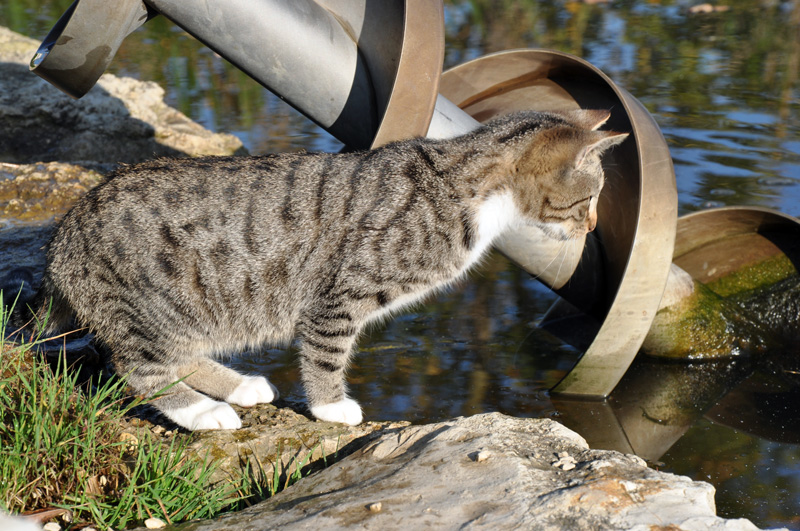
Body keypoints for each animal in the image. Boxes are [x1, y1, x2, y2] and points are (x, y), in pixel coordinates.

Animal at [10, 110, 624, 430]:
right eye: (590, 198)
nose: (595, 225)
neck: (466, 183)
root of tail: (64, 239)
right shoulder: (341, 293)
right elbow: (326, 350)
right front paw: (331, 406)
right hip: (155, 306)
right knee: (140, 367)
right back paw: (204, 413)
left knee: (179, 356)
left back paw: (239, 387)